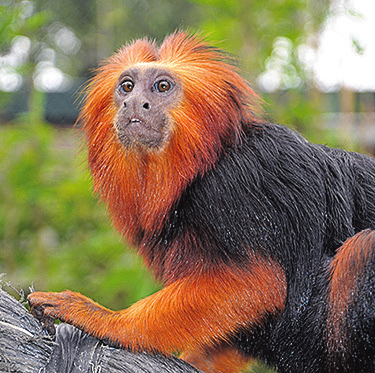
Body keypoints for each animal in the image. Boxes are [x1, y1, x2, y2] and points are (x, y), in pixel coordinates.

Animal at [27, 32, 375, 372]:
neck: (198, 171)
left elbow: (258, 283)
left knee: (361, 251)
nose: (134, 103)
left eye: (162, 87)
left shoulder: (239, 187)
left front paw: (108, 321)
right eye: (127, 86)